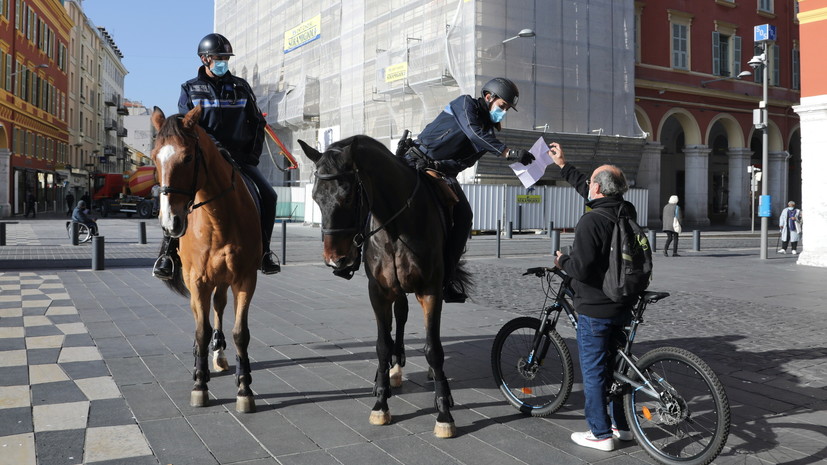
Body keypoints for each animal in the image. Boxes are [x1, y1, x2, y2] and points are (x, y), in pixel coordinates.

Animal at [150, 107, 260, 412]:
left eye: (188, 157)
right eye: (153, 157)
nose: (170, 223)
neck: (218, 218)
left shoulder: (245, 279)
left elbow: (240, 333)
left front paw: (244, 387)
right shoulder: (198, 281)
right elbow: (201, 330)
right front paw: (200, 385)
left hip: (222, 279)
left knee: (219, 306)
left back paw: (219, 353)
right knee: (201, 315)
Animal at [300, 135, 468, 438]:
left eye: (347, 196)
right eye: (316, 197)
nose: (335, 260)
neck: (397, 227)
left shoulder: (430, 291)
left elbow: (433, 348)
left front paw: (444, 412)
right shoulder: (378, 291)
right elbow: (381, 344)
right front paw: (380, 401)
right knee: (399, 317)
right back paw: (393, 370)